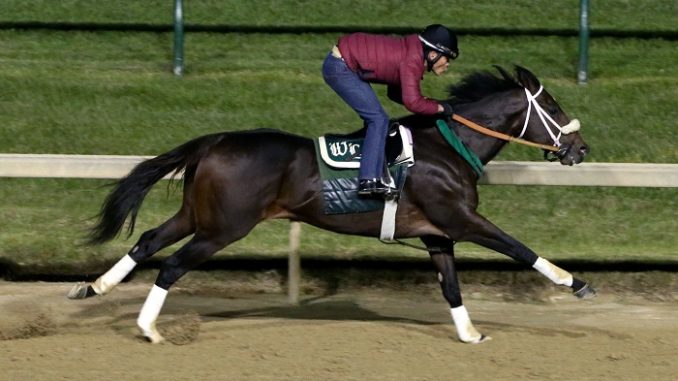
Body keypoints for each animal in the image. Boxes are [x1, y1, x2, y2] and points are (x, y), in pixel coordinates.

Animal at [69, 66, 596, 344]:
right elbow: (518, 247)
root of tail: (214, 141)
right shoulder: (461, 219)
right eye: (553, 106)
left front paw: (469, 334)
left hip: (196, 214)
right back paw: (149, 328)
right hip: (224, 227)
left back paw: (92, 288)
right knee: (172, 265)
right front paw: (575, 283)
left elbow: (450, 286)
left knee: (148, 241)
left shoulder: (436, 232)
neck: (446, 147)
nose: (580, 148)